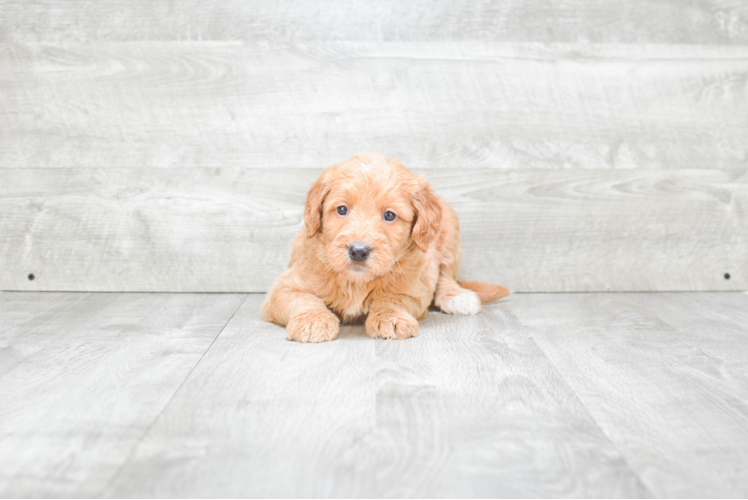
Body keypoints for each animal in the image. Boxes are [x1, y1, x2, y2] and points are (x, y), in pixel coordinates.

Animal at [260, 154, 512, 342]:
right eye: (341, 210)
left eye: (389, 215)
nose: (358, 250)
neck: (357, 281)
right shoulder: (284, 287)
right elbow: (304, 299)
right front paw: (313, 320)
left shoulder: (414, 290)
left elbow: (391, 299)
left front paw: (391, 318)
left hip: (450, 229)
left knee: (446, 276)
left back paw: (457, 296)